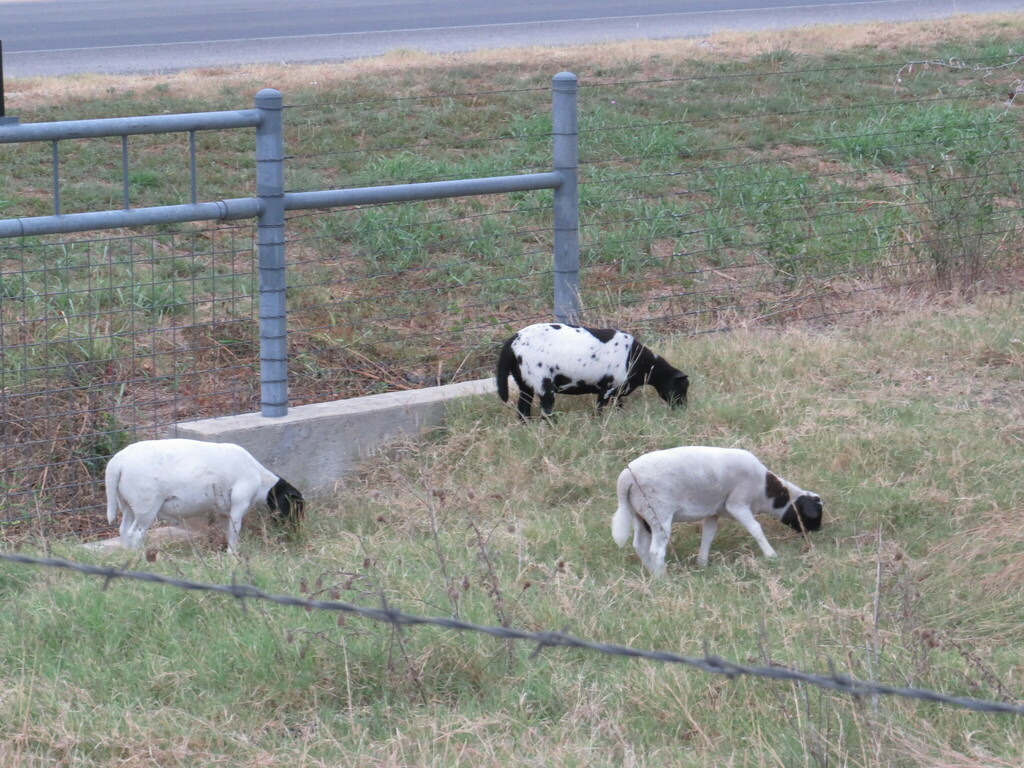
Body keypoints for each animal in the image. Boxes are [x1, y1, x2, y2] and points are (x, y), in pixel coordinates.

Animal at [105, 438, 304, 554]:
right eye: (295, 505)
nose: (297, 531)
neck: (262, 481)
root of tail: (117, 463)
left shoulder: (223, 509)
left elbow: (227, 530)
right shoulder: (239, 503)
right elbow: (235, 530)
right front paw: (234, 555)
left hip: (127, 504)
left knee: (124, 530)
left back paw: (128, 556)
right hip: (146, 505)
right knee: (135, 534)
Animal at [495, 323, 689, 419]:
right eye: (681, 387)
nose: (683, 409)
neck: (638, 360)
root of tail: (513, 340)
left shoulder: (618, 391)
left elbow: (618, 406)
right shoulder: (608, 387)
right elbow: (599, 409)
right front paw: (599, 423)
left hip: (524, 383)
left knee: (523, 410)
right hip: (543, 382)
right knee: (546, 411)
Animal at [611, 446, 822, 574]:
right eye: (814, 515)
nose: (815, 533)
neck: (765, 491)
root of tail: (625, 480)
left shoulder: (712, 512)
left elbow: (708, 536)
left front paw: (702, 563)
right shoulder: (737, 504)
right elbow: (755, 529)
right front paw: (771, 556)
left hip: (640, 515)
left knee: (639, 545)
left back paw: (652, 573)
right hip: (659, 512)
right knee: (656, 550)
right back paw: (662, 577)